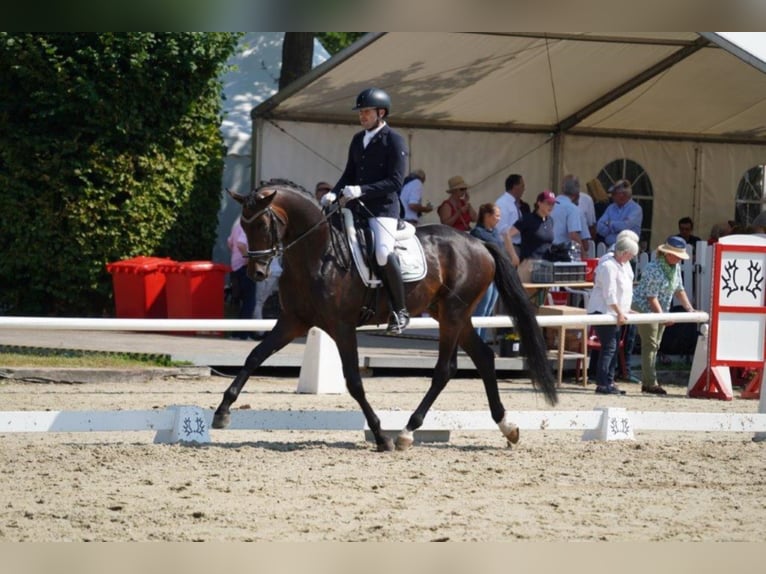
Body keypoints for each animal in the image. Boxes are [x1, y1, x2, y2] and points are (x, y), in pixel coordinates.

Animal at [216, 181, 560, 454]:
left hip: (453, 314)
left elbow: (354, 381)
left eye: (262, 225)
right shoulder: (293, 321)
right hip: (452, 314)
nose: (257, 273)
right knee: (485, 358)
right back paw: (508, 427)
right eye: (243, 226)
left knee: (445, 370)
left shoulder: (342, 327)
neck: (318, 253)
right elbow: (254, 356)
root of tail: (479, 242)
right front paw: (222, 412)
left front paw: (381, 436)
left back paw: (407, 432)